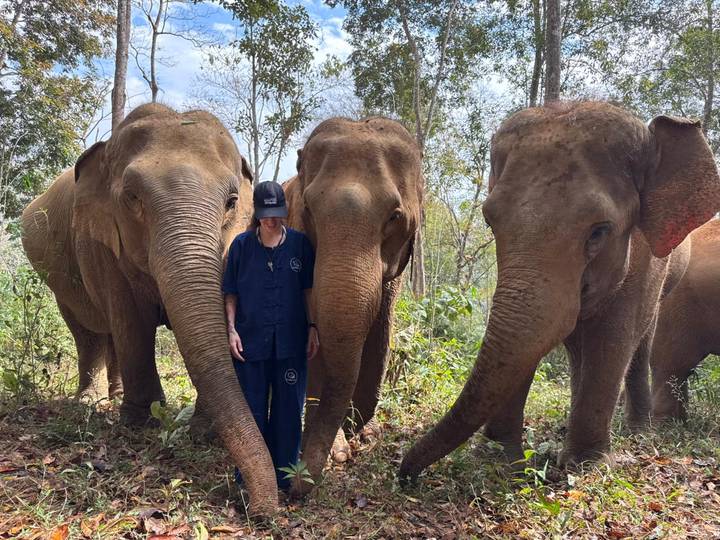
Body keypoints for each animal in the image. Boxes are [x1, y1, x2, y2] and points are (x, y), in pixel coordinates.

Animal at [21, 103, 279, 516]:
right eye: (132, 197)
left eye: (231, 202)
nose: (258, 509)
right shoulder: (100, 240)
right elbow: (130, 320)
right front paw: (141, 422)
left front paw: (203, 431)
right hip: (57, 277)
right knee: (89, 332)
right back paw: (92, 402)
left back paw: (112, 397)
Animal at [282, 116, 423, 496]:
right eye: (308, 210)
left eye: (395, 216)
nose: (294, 484)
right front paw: (338, 451)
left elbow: (382, 328)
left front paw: (363, 433)